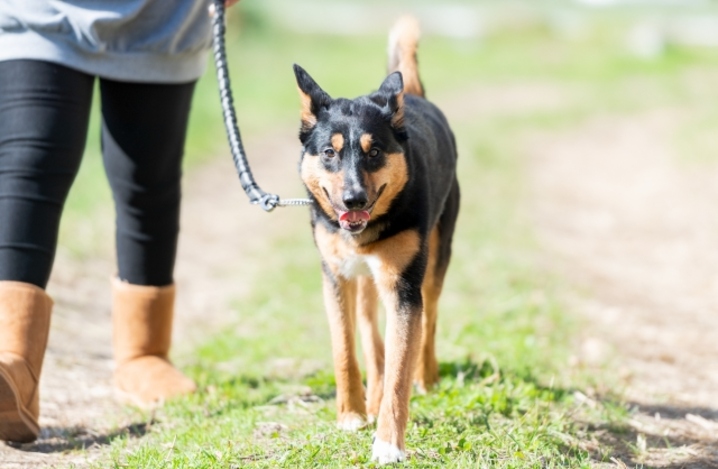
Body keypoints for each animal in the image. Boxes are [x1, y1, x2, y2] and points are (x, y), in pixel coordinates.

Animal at [294, 16, 458, 462]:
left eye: (374, 152)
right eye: (329, 153)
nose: (353, 199)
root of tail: (412, 96)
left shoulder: (403, 288)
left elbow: (401, 368)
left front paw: (388, 444)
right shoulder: (334, 275)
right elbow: (344, 347)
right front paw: (351, 414)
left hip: (437, 257)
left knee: (430, 320)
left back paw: (427, 376)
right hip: (365, 281)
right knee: (370, 334)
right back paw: (371, 396)